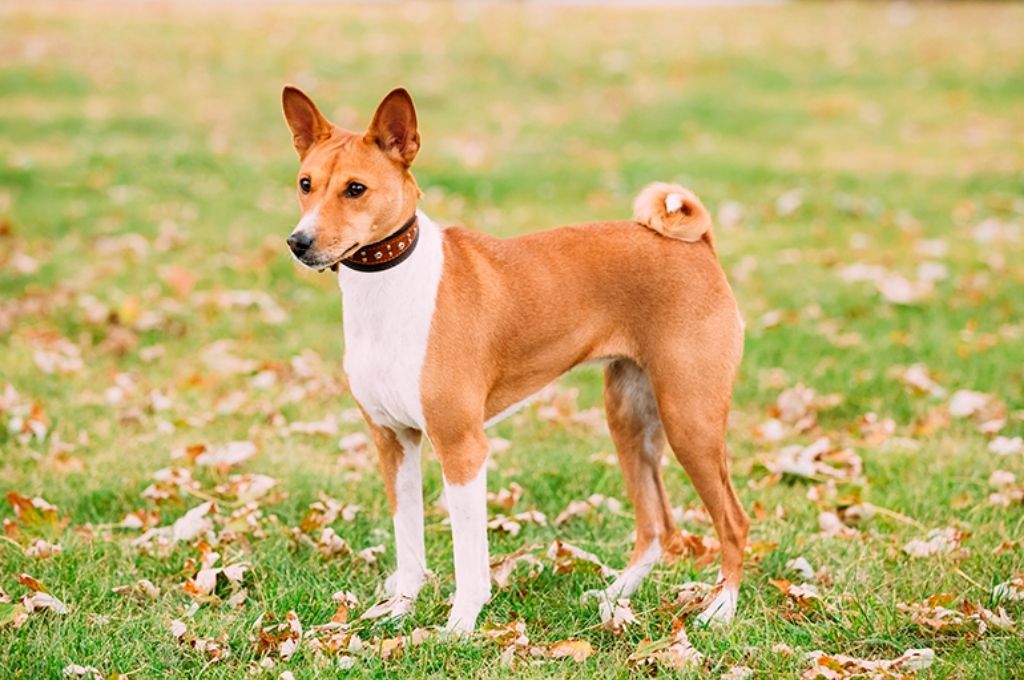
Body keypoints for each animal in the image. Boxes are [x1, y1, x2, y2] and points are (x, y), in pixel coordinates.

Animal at [284, 85, 749, 630]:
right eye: (306, 184)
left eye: (355, 189)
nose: (299, 242)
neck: (391, 288)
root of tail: (699, 245)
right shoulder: (393, 441)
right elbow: (409, 545)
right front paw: (399, 612)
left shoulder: (462, 447)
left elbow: (468, 557)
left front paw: (459, 626)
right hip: (630, 418)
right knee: (658, 525)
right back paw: (616, 597)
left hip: (689, 419)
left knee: (734, 521)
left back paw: (721, 608)